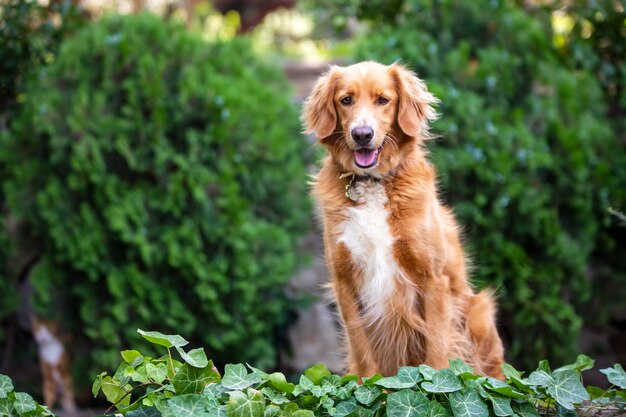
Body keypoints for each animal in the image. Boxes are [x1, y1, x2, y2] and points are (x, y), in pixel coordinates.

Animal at [302, 61, 502, 376]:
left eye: (383, 100)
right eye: (346, 100)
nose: (362, 134)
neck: (373, 182)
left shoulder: (432, 279)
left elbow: (437, 349)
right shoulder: (344, 282)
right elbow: (362, 350)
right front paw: (367, 385)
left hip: (480, 310)